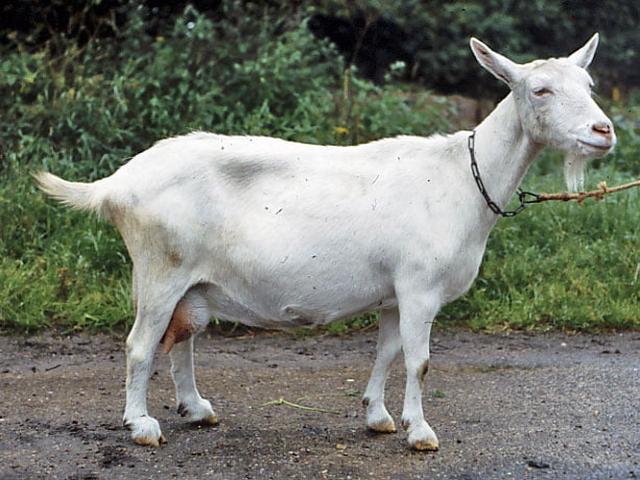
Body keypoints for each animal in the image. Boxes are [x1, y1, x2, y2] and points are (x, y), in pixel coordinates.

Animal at [36, 34, 615, 450]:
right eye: (539, 89)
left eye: (588, 84)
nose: (604, 131)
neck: (462, 177)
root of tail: (117, 183)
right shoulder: (420, 287)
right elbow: (420, 360)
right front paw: (422, 433)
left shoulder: (394, 293)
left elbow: (387, 353)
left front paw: (380, 417)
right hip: (161, 267)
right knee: (140, 343)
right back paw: (141, 426)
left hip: (190, 280)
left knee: (181, 337)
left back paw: (196, 409)